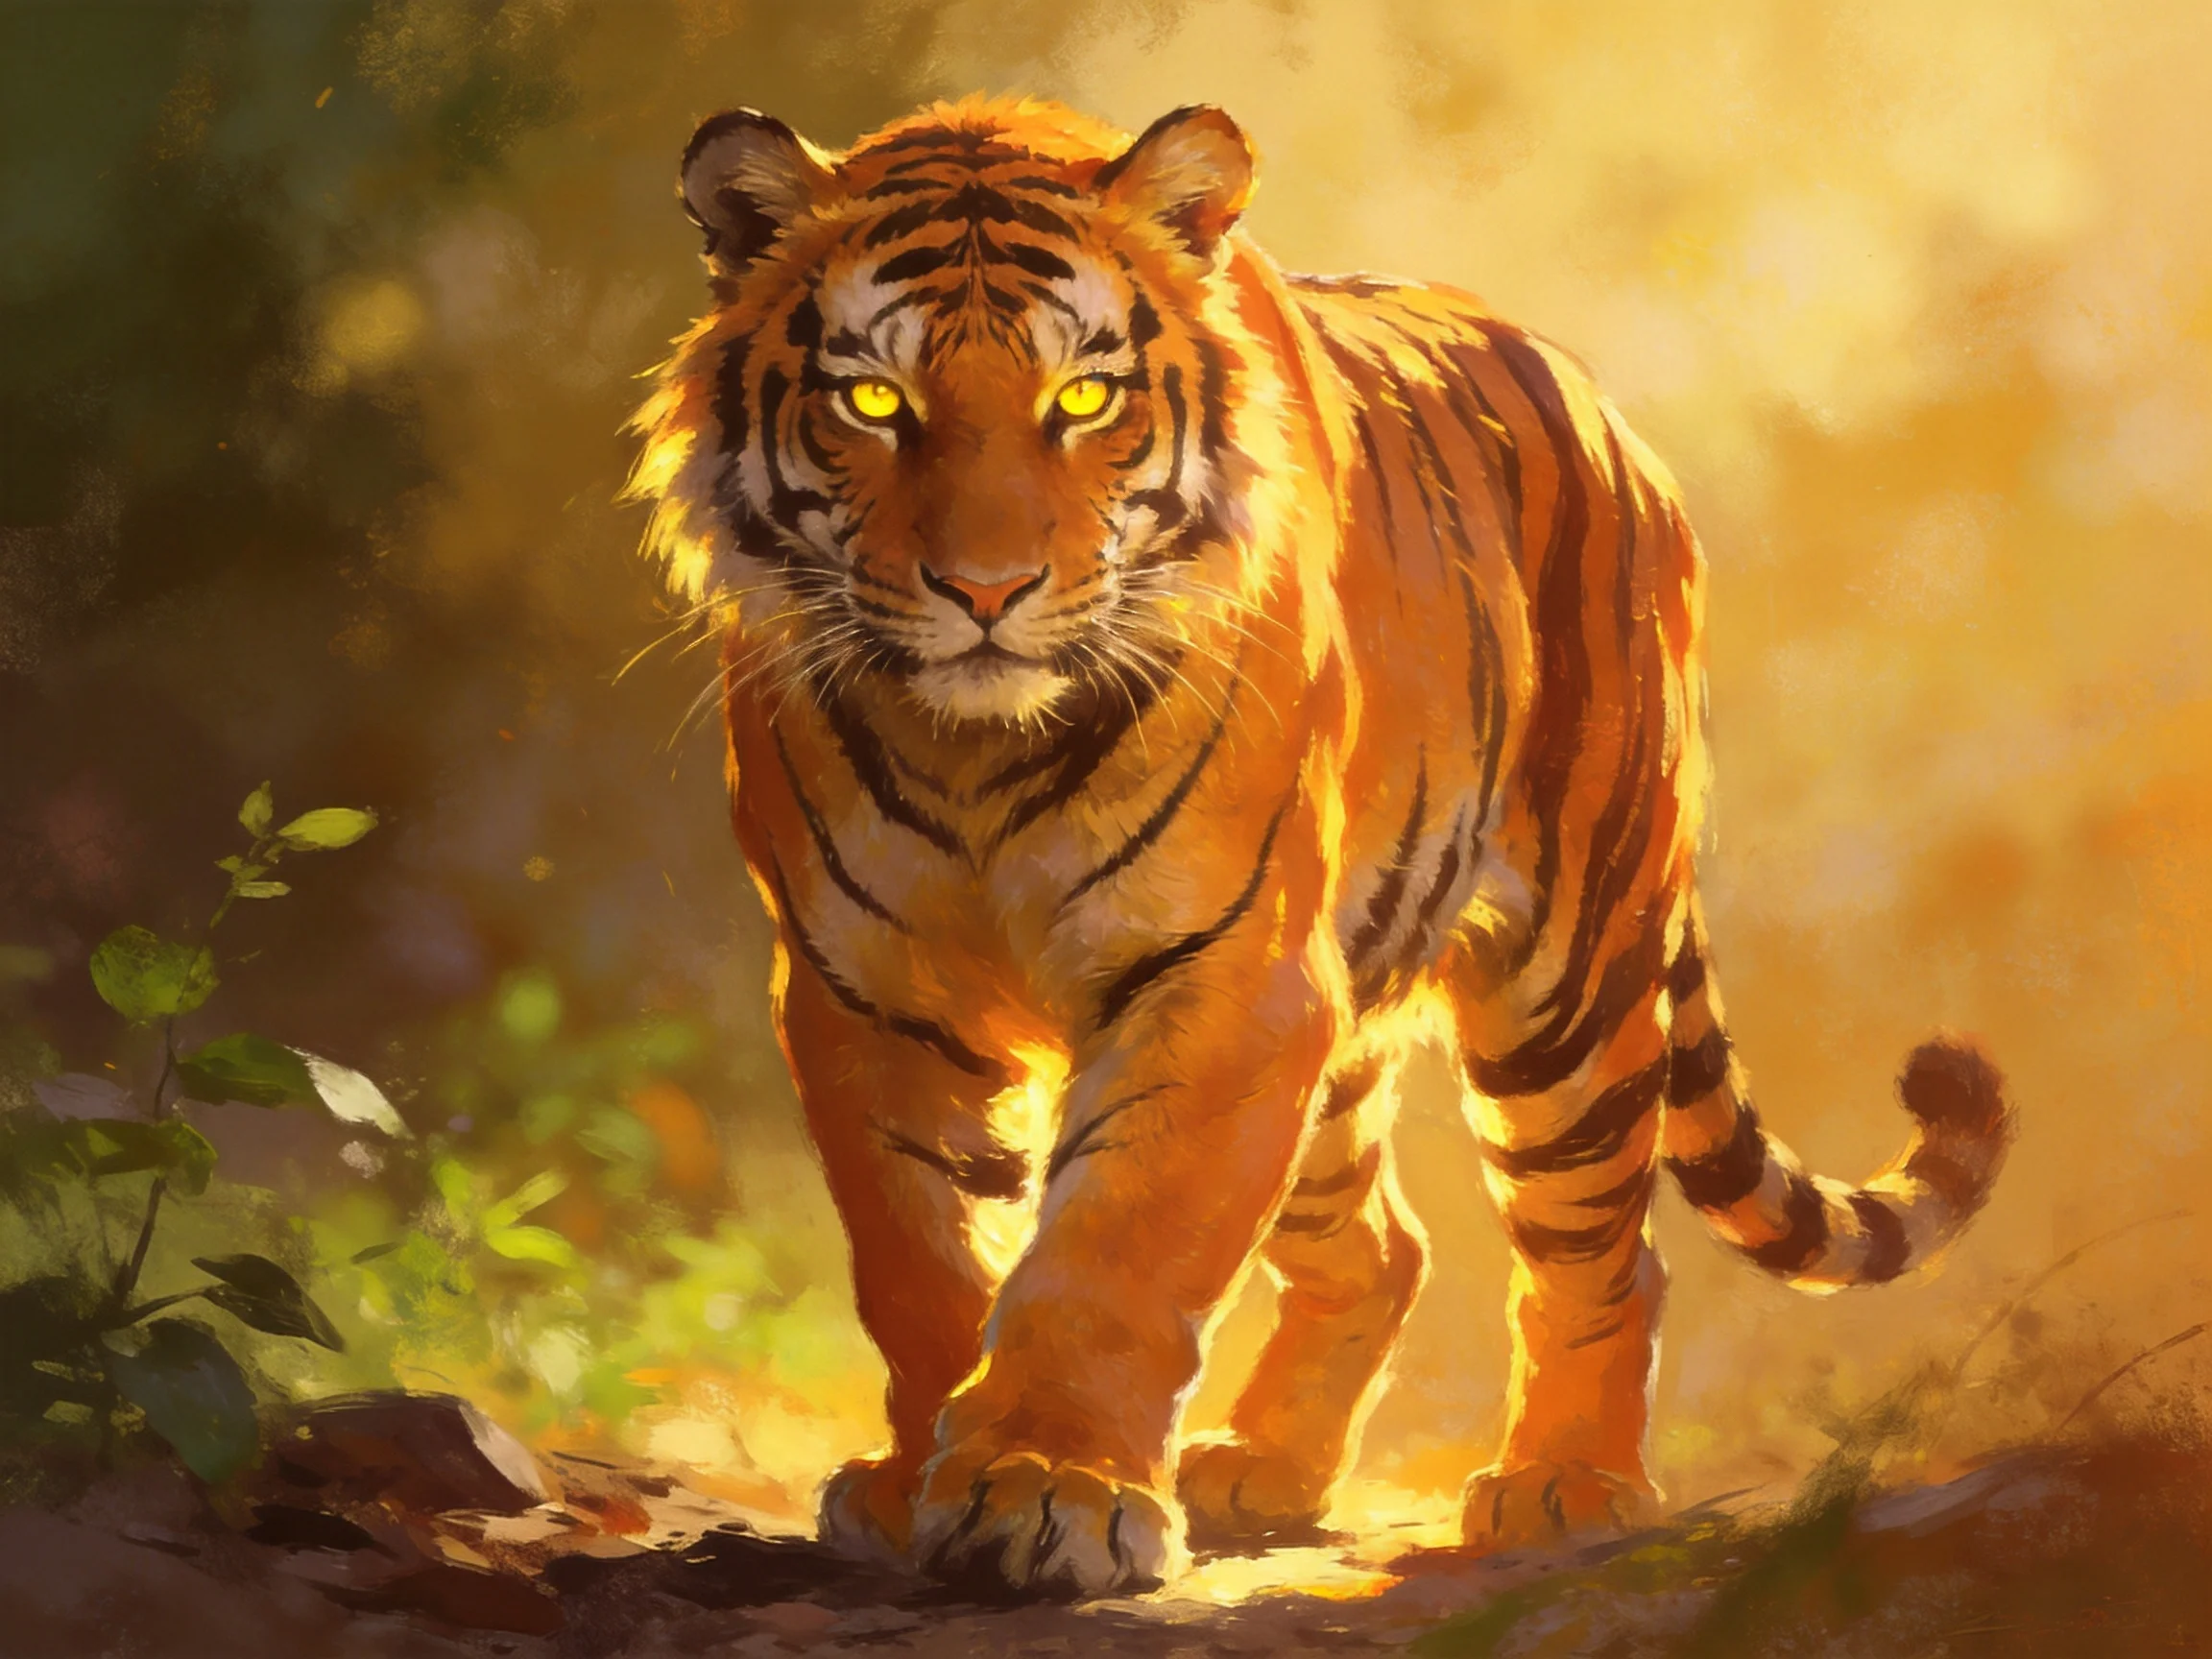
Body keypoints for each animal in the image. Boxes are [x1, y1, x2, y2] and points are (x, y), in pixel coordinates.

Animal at [626, 94, 2014, 1601]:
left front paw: (1046, 1488)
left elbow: (1118, 1248)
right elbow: (922, 1251)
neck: (981, 752)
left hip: (1567, 976)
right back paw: (1266, 1468)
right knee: (1385, 1248)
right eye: (874, 402)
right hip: (1350, 1022)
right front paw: (913, 1478)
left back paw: (1568, 1484)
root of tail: (1602, 408)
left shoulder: (1223, 979)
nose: (985, 592)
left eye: (1083, 399)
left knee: (1604, 1246)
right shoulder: (867, 996)